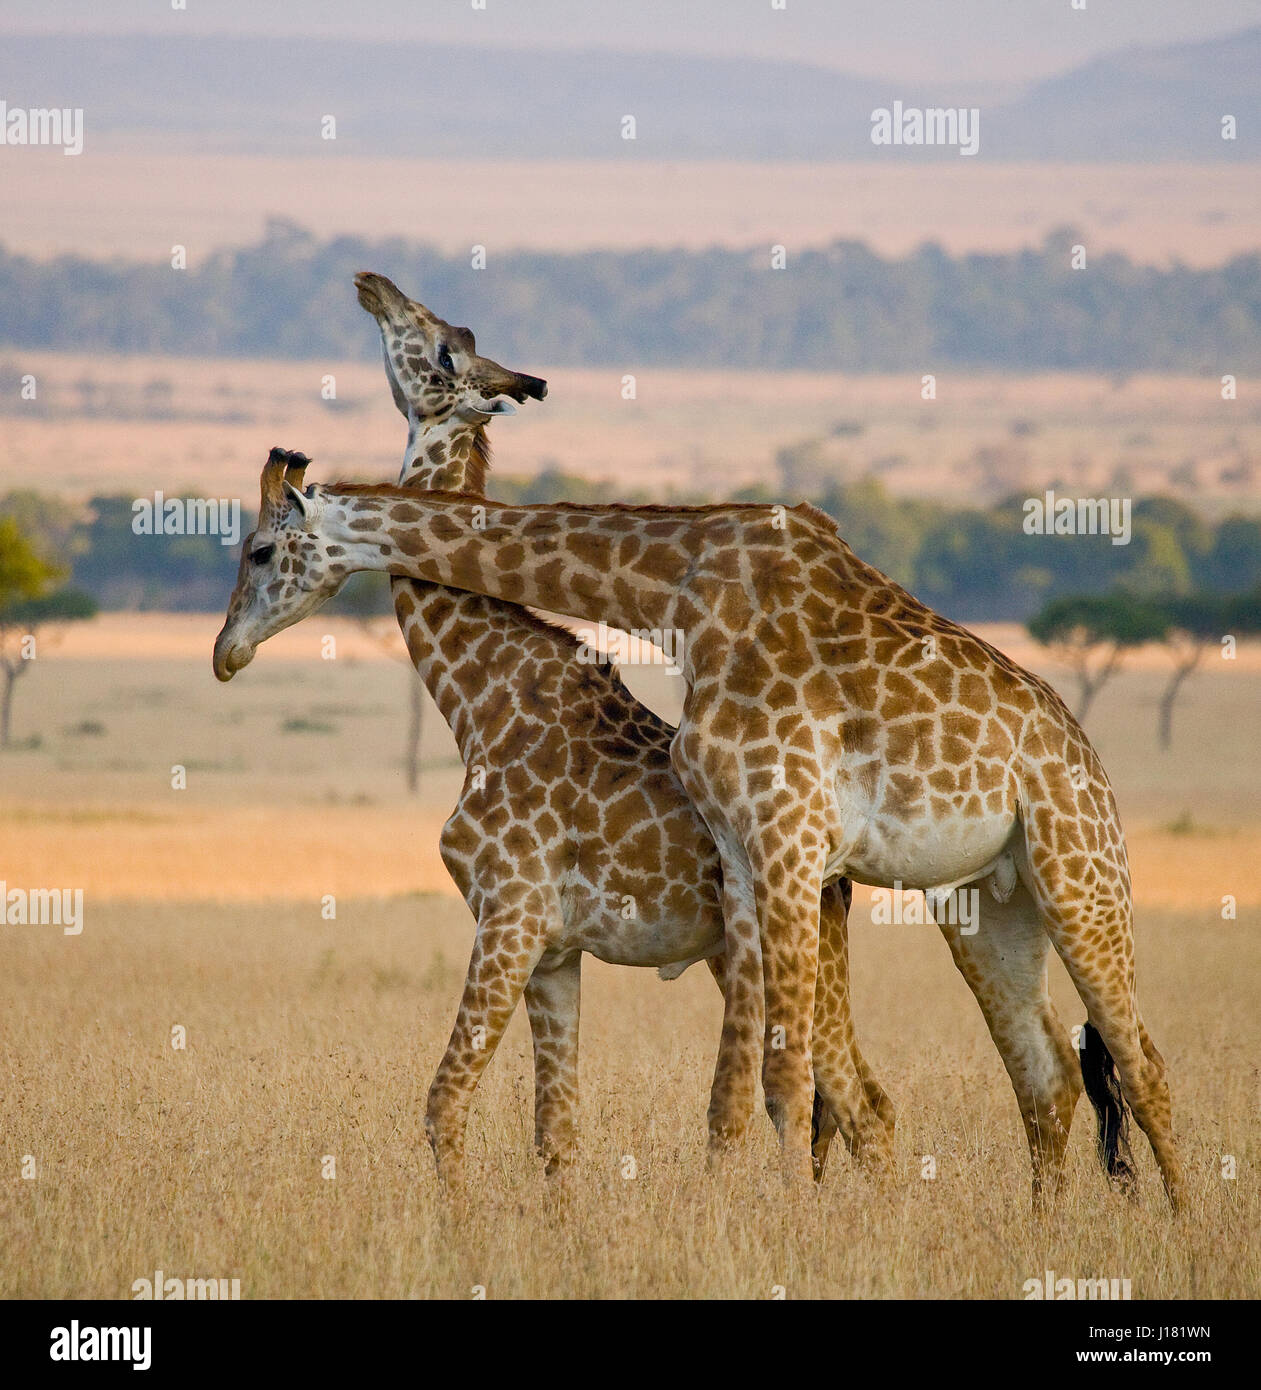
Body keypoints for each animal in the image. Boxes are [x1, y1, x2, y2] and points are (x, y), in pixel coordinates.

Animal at [213, 466, 1184, 1206]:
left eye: (259, 549)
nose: (226, 651)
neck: (676, 594)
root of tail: (1085, 755)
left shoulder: (785, 837)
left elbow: (784, 1083)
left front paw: (791, 1230)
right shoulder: (743, 856)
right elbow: (739, 1093)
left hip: (1078, 872)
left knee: (1140, 1063)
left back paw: (1178, 1231)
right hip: (984, 905)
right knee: (1044, 1075)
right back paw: (1042, 1235)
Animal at [216, 275, 892, 1185]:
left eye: (256, 550)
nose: (225, 653)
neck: (482, 703)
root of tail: (839, 872)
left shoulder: (509, 912)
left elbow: (444, 1105)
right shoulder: (556, 949)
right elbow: (555, 1137)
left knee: (859, 1106)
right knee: (858, 1102)